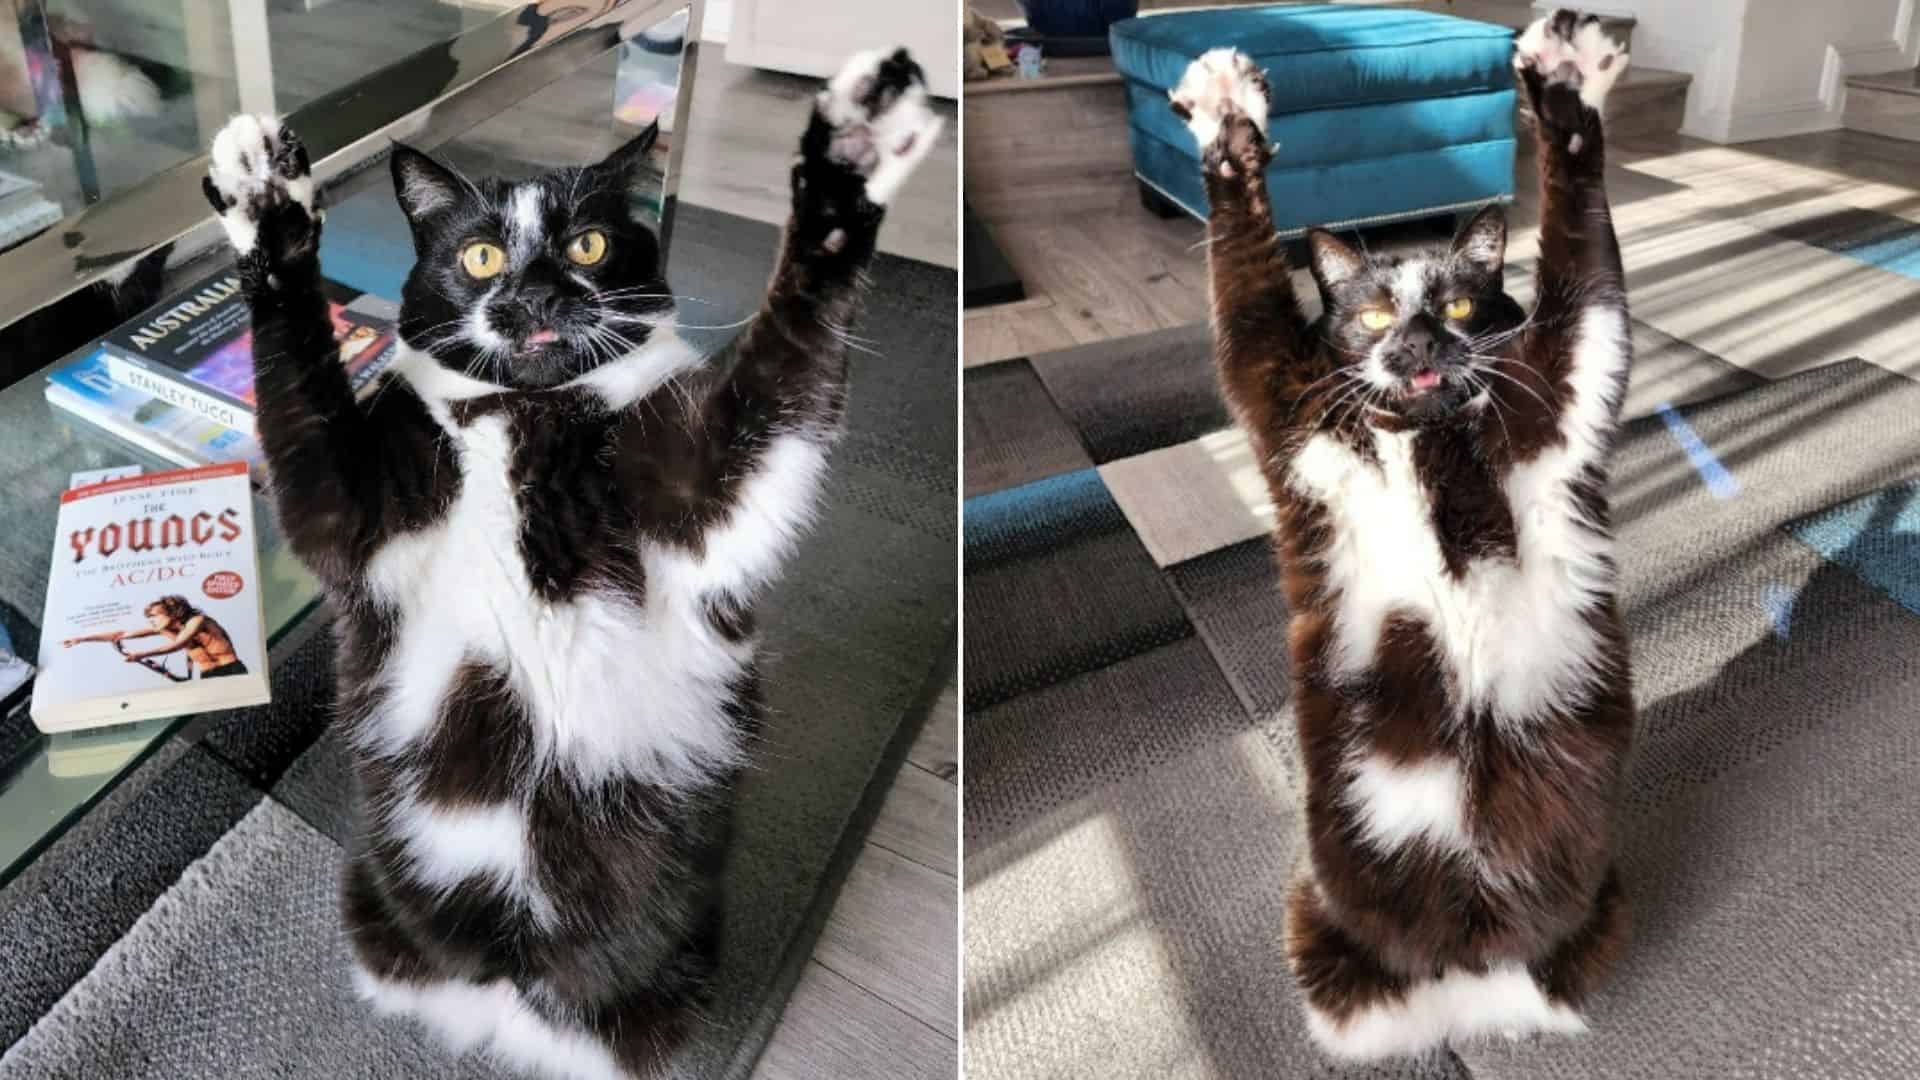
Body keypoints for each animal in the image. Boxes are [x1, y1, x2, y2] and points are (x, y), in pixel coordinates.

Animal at [198, 46, 940, 1068]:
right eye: (480, 256)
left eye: (587, 246)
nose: (536, 296)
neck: (524, 412)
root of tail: (513, 986)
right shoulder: (343, 506)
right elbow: (298, 380)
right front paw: (266, 196)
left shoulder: (710, 496)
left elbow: (782, 373)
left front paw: (852, 152)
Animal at [1167, 8, 1635, 1060]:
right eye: (1377, 309)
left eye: (1458, 302)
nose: (1418, 341)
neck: (1430, 438)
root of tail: (1468, 982)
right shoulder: (1278, 393)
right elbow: (1244, 279)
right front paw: (1225, 110)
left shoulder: (1571, 375)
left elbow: (1581, 255)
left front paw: (1566, 80)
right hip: (1312, 913)